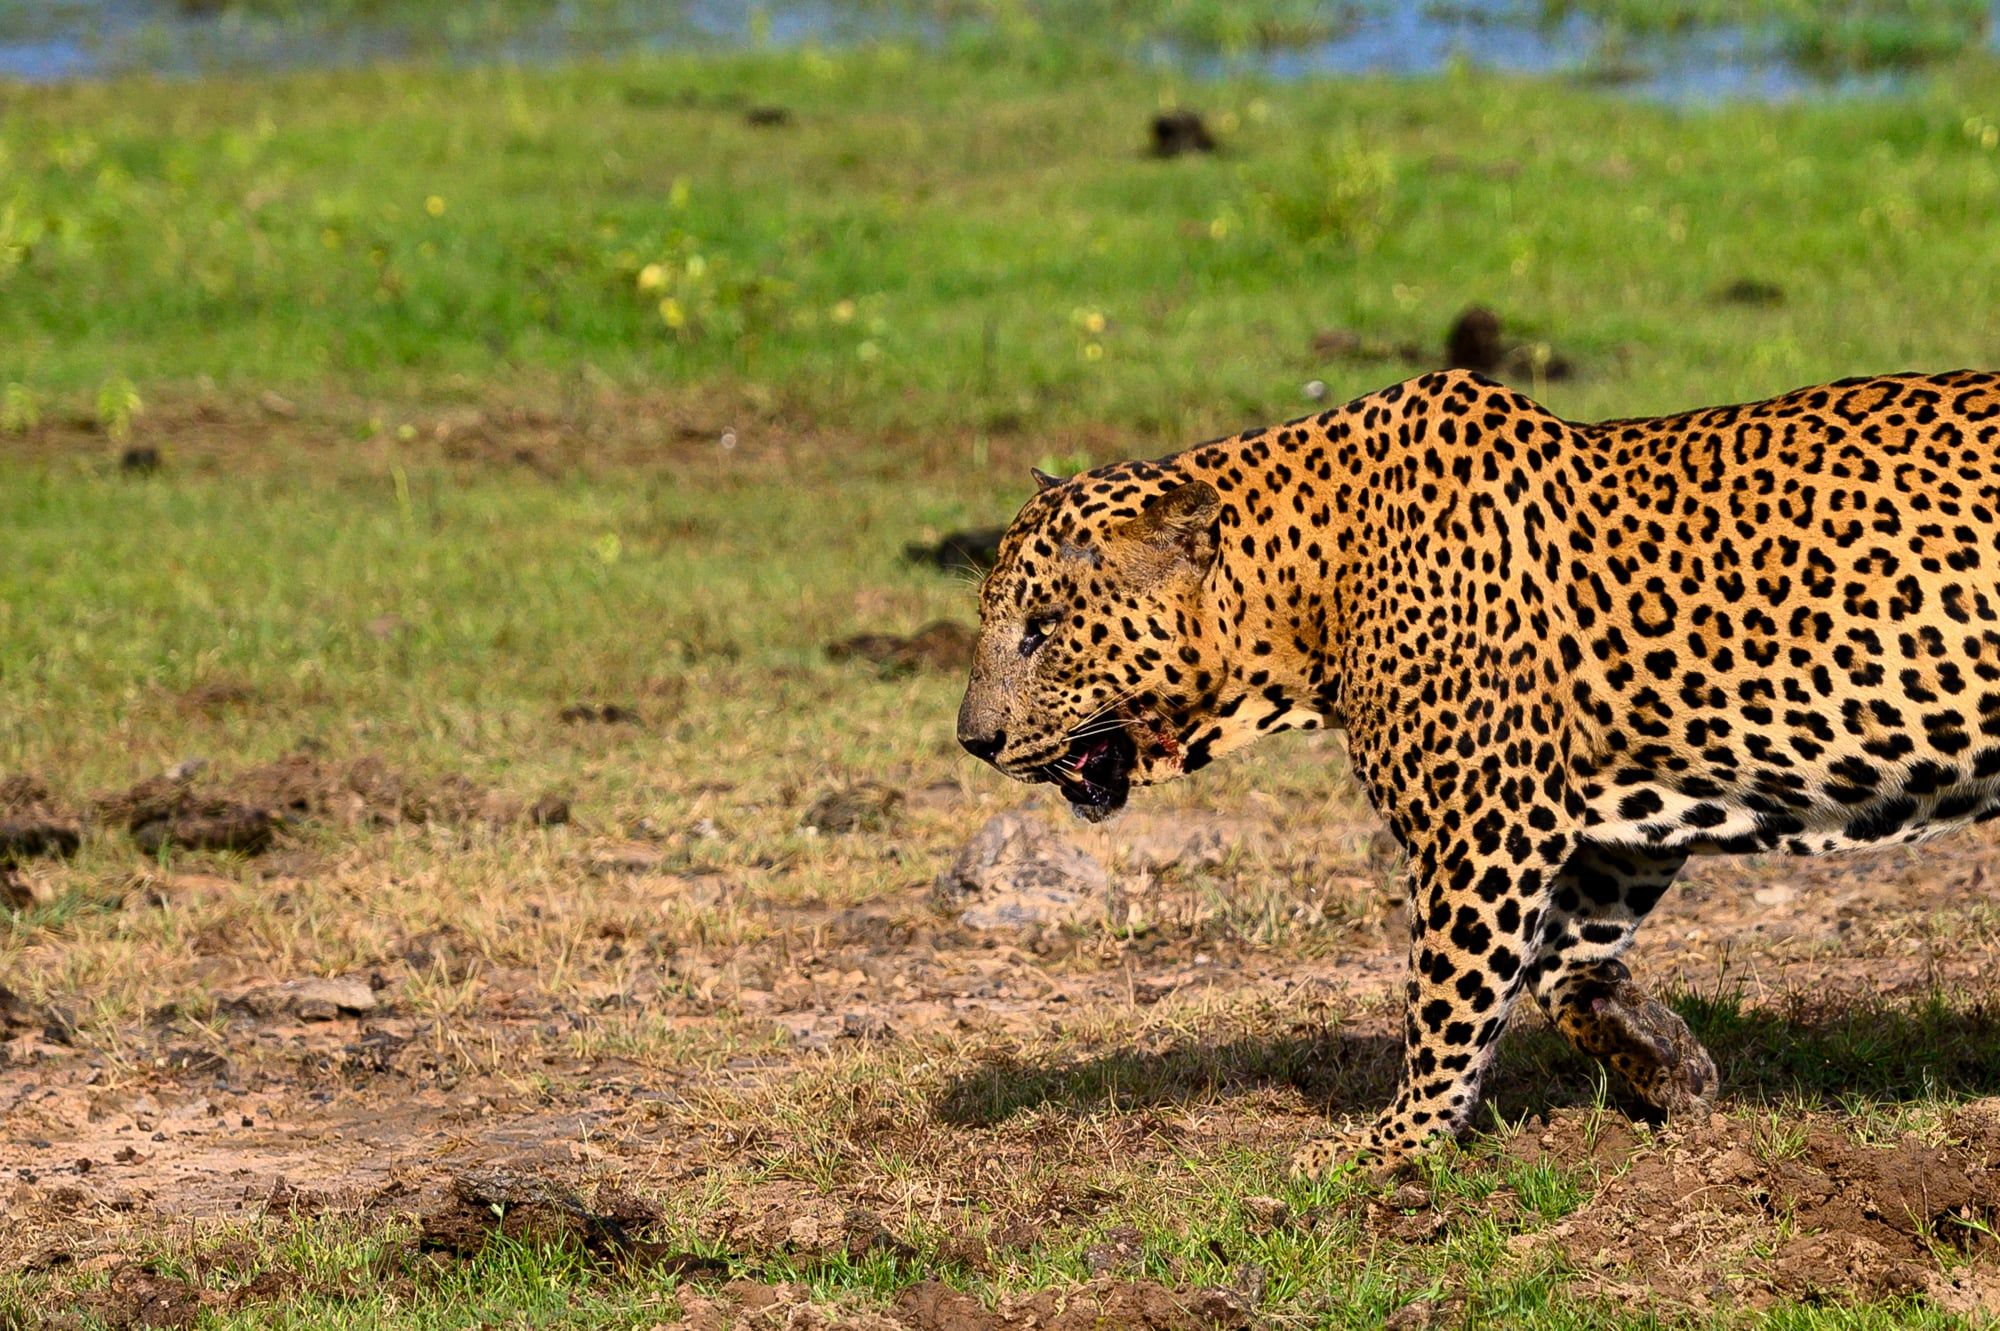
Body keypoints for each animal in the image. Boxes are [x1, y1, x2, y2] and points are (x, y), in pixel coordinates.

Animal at [955, 367, 2000, 1174]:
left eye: (1042, 629)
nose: (972, 739)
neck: (1305, 593)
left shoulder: (1484, 826)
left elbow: (1446, 998)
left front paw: (1389, 1145)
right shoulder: (1611, 820)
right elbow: (1566, 969)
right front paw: (1674, 1066)